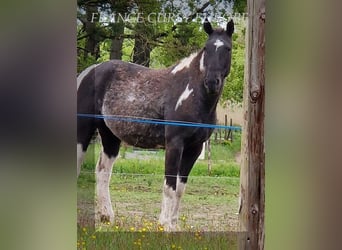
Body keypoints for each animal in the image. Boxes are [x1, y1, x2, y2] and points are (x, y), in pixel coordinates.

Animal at [76, 19, 234, 230]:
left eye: (227, 48)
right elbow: (169, 185)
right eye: (206, 48)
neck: (191, 93)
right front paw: (164, 225)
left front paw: (174, 225)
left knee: (102, 171)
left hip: (110, 136)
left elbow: (180, 188)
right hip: (83, 130)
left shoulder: (195, 148)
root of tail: (88, 72)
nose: (211, 82)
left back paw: (106, 216)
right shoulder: (175, 144)